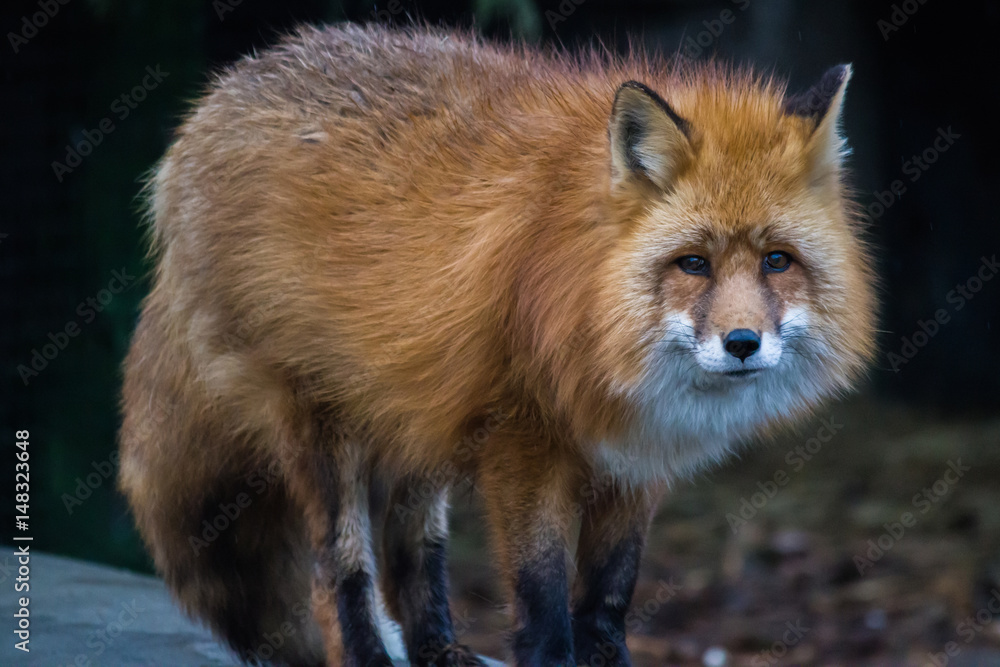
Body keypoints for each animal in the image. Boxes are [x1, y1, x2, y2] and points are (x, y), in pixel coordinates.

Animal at [118, 23, 877, 667]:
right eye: (694, 263)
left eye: (777, 261)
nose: (743, 342)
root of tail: (216, 99)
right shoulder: (524, 443)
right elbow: (543, 602)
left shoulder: (635, 460)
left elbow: (607, 599)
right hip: (319, 427)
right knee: (338, 573)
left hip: (415, 409)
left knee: (414, 554)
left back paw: (438, 650)